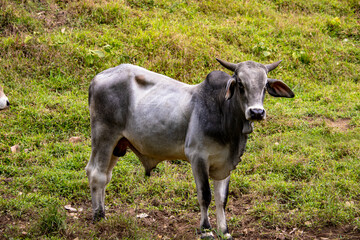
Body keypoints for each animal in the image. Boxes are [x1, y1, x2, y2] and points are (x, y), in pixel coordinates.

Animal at [86, 58, 294, 240]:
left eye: (265, 86)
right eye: (241, 84)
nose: (257, 112)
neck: (223, 115)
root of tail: (98, 77)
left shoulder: (225, 164)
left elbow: (222, 199)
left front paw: (224, 231)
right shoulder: (198, 157)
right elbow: (205, 195)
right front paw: (206, 231)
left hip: (118, 144)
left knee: (105, 176)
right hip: (104, 135)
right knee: (96, 173)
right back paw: (99, 217)